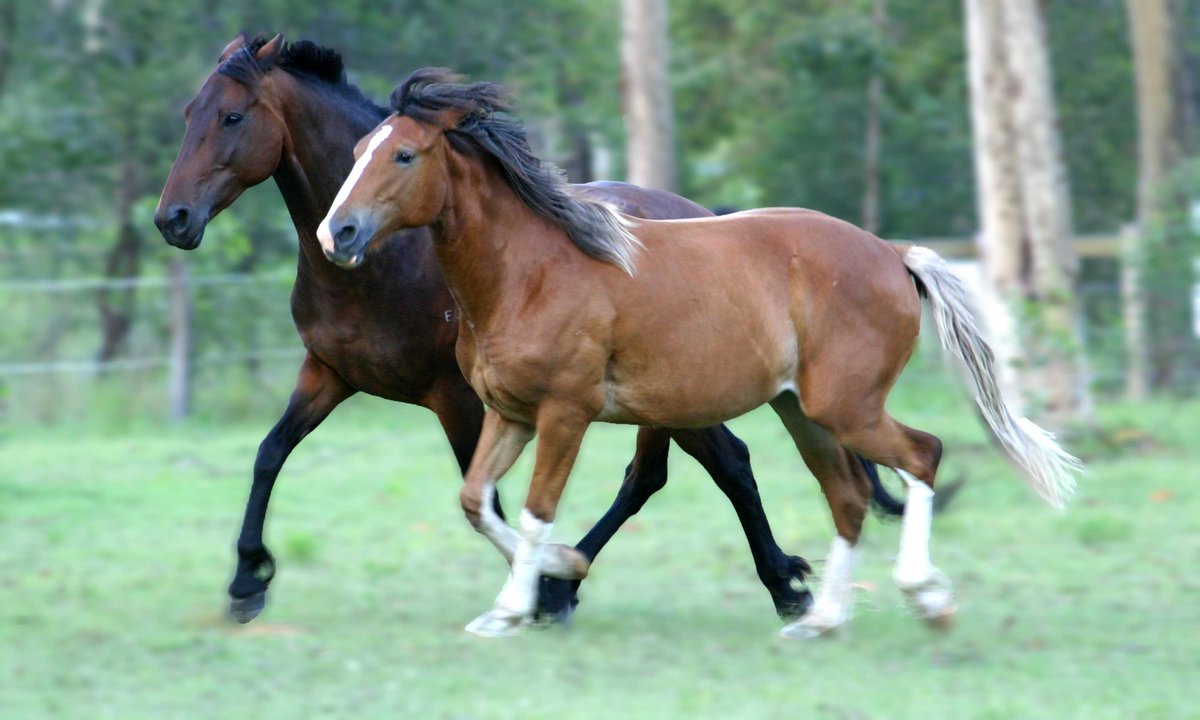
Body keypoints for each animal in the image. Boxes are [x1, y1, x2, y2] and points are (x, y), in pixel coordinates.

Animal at [153, 35, 897, 624]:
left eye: (231, 116)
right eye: (189, 113)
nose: (173, 219)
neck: (390, 263)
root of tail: (703, 211)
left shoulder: (458, 398)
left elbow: (488, 495)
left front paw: (529, 589)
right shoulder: (328, 375)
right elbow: (270, 453)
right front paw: (247, 580)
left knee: (728, 465)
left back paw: (780, 586)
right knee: (652, 475)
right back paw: (577, 583)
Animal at [317, 69, 1083, 639]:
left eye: (405, 155)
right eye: (355, 155)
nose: (337, 233)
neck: (530, 272)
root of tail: (894, 254)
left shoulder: (565, 413)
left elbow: (534, 510)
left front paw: (524, 600)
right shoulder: (511, 414)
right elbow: (476, 500)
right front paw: (555, 575)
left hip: (847, 407)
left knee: (921, 456)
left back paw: (924, 597)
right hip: (803, 413)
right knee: (850, 495)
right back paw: (821, 620)